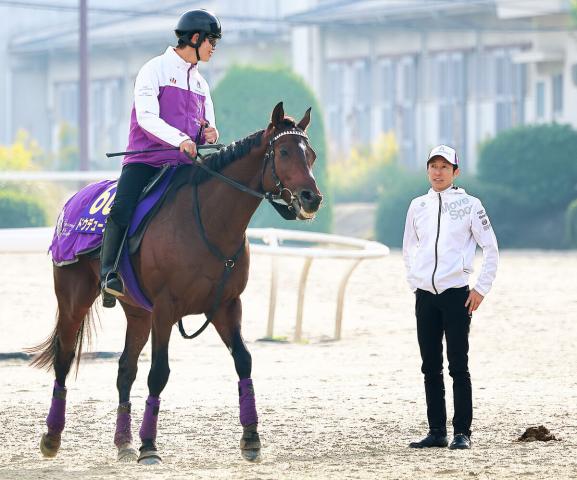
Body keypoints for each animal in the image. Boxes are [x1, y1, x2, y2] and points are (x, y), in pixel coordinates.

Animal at [29, 102, 322, 464]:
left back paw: (123, 442)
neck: (208, 222)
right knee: (64, 359)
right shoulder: (165, 309)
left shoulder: (226, 305)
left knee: (125, 369)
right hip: (74, 300)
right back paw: (52, 437)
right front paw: (149, 446)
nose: (311, 198)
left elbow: (243, 360)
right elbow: (159, 373)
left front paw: (251, 438)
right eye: (283, 151)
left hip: (138, 313)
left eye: (311, 154)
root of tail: (73, 201)